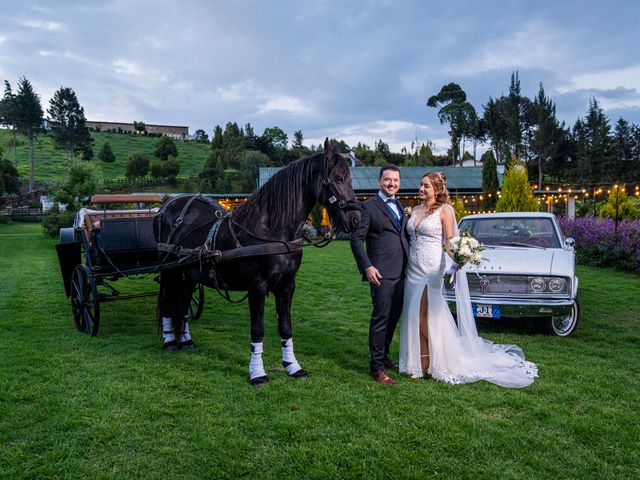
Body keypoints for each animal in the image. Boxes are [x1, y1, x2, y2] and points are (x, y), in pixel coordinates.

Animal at [154, 137, 360, 384]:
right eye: (338, 178)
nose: (356, 219)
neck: (272, 231)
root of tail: (167, 206)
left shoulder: (287, 286)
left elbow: (285, 327)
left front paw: (293, 366)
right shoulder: (257, 287)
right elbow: (258, 329)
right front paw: (257, 372)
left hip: (189, 273)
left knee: (183, 303)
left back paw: (185, 340)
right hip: (169, 272)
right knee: (168, 302)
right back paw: (169, 342)